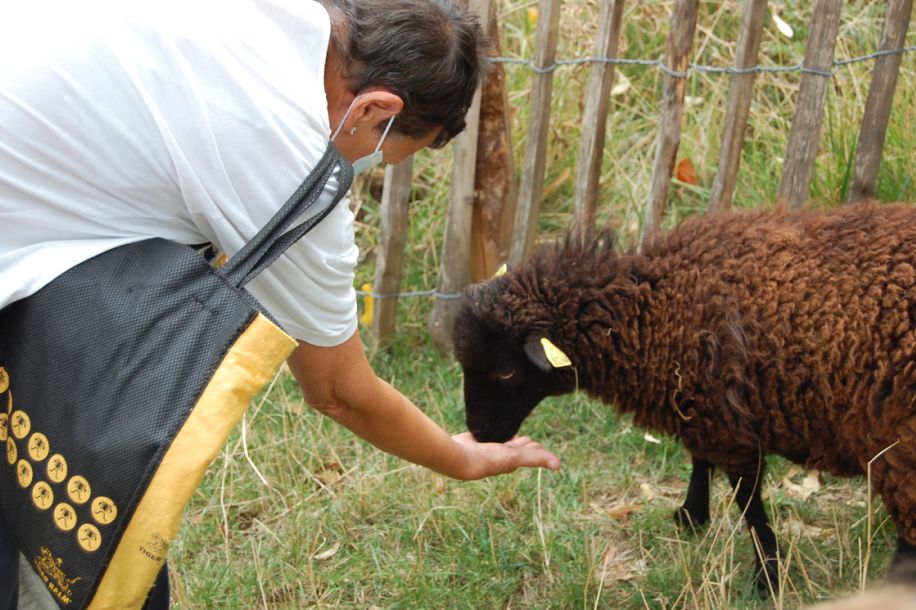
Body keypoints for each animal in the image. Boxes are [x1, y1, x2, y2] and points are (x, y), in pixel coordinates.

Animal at [452, 202, 916, 594]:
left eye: (506, 370)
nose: (480, 434)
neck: (652, 308)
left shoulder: (728, 422)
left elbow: (748, 504)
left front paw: (766, 577)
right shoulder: (699, 402)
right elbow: (699, 460)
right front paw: (692, 517)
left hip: (898, 442)